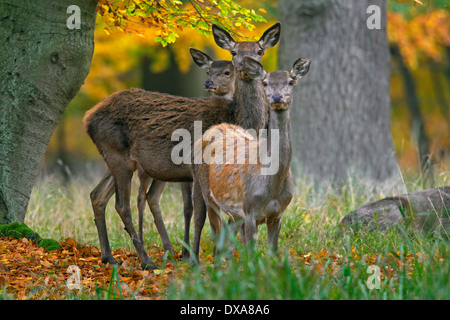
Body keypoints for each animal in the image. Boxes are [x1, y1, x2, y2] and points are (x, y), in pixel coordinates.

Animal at [83, 21, 282, 270]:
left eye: (259, 51)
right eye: (234, 52)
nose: (244, 66)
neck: (237, 117)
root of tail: (88, 118)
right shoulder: (197, 170)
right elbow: (200, 215)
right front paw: (197, 259)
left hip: (118, 159)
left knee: (98, 195)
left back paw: (109, 256)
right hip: (117, 154)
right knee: (122, 205)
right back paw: (146, 260)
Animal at [190, 56, 310, 258]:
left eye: (291, 81)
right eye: (265, 82)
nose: (277, 97)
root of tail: (215, 127)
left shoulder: (277, 214)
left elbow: (271, 253)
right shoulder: (250, 210)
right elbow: (251, 254)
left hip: (234, 212)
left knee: (228, 237)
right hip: (206, 190)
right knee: (215, 233)